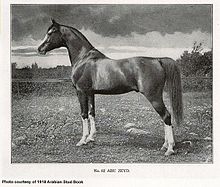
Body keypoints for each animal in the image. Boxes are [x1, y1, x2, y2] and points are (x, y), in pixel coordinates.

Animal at [37, 19, 182, 156]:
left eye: (50, 33)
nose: (39, 49)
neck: (83, 59)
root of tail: (157, 60)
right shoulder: (90, 93)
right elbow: (92, 113)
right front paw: (91, 137)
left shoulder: (81, 92)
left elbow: (84, 114)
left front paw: (82, 140)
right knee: (165, 118)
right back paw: (165, 145)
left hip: (154, 96)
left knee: (166, 116)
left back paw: (169, 149)